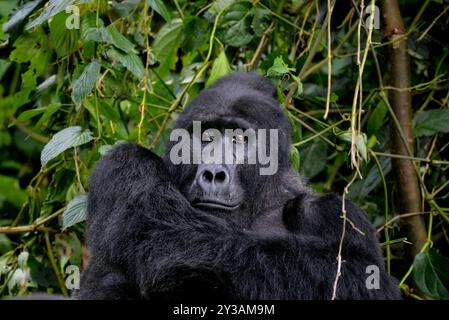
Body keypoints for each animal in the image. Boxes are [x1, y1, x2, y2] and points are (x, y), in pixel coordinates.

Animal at [75, 72, 400, 300]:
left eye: (238, 139)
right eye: (206, 137)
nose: (213, 174)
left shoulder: (334, 213)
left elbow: (365, 279)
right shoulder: (122, 165)